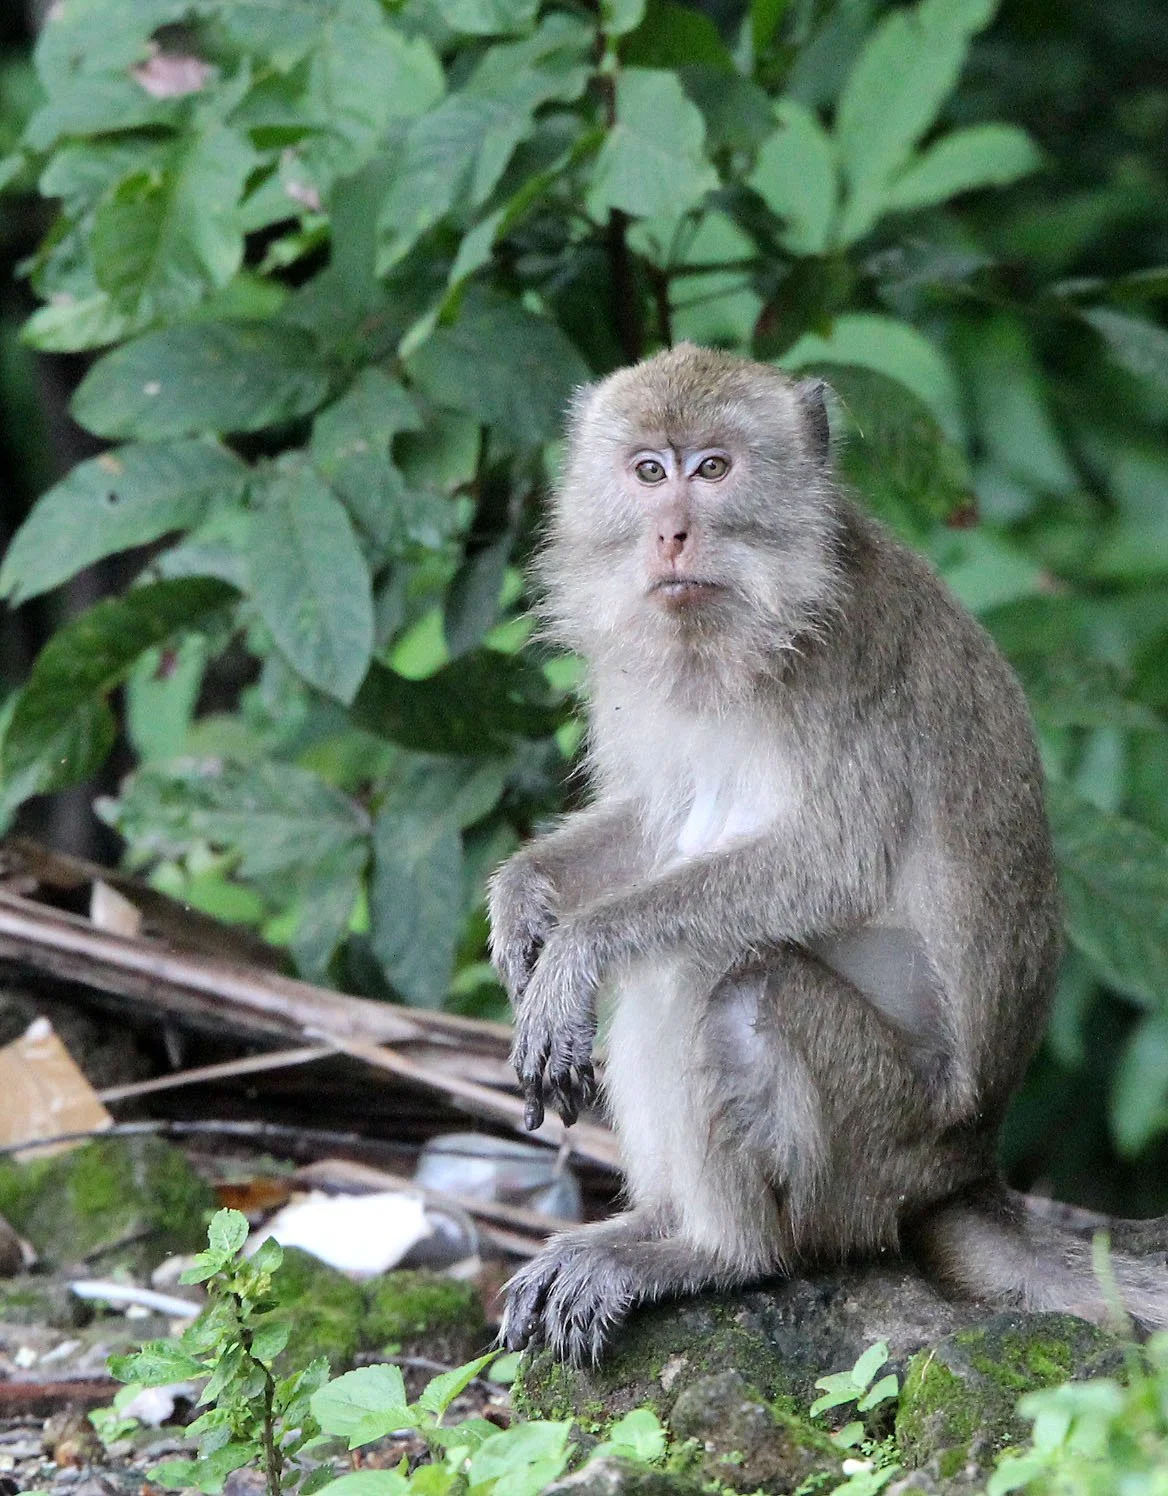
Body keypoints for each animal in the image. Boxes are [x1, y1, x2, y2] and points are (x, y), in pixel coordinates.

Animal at [487, 342, 1168, 1366]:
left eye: (712, 469)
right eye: (647, 471)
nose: (672, 534)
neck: (732, 638)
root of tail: (969, 1168)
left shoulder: (845, 660)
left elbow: (832, 865)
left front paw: (576, 949)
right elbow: (656, 820)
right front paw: (524, 900)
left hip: (877, 1148)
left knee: (721, 977)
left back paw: (718, 1252)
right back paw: (656, 1226)